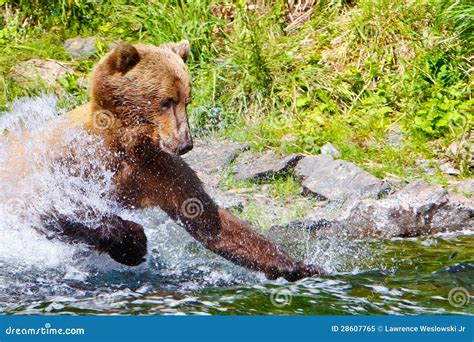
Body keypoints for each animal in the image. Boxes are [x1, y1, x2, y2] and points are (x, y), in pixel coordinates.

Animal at [44, 40, 324, 280]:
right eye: (166, 100)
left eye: (187, 100)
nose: (185, 143)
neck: (126, 143)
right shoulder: (76, 157)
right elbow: (56, 209)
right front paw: (134, 243)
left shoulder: (160, 169)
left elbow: (207, 219)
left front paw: (299, 266)